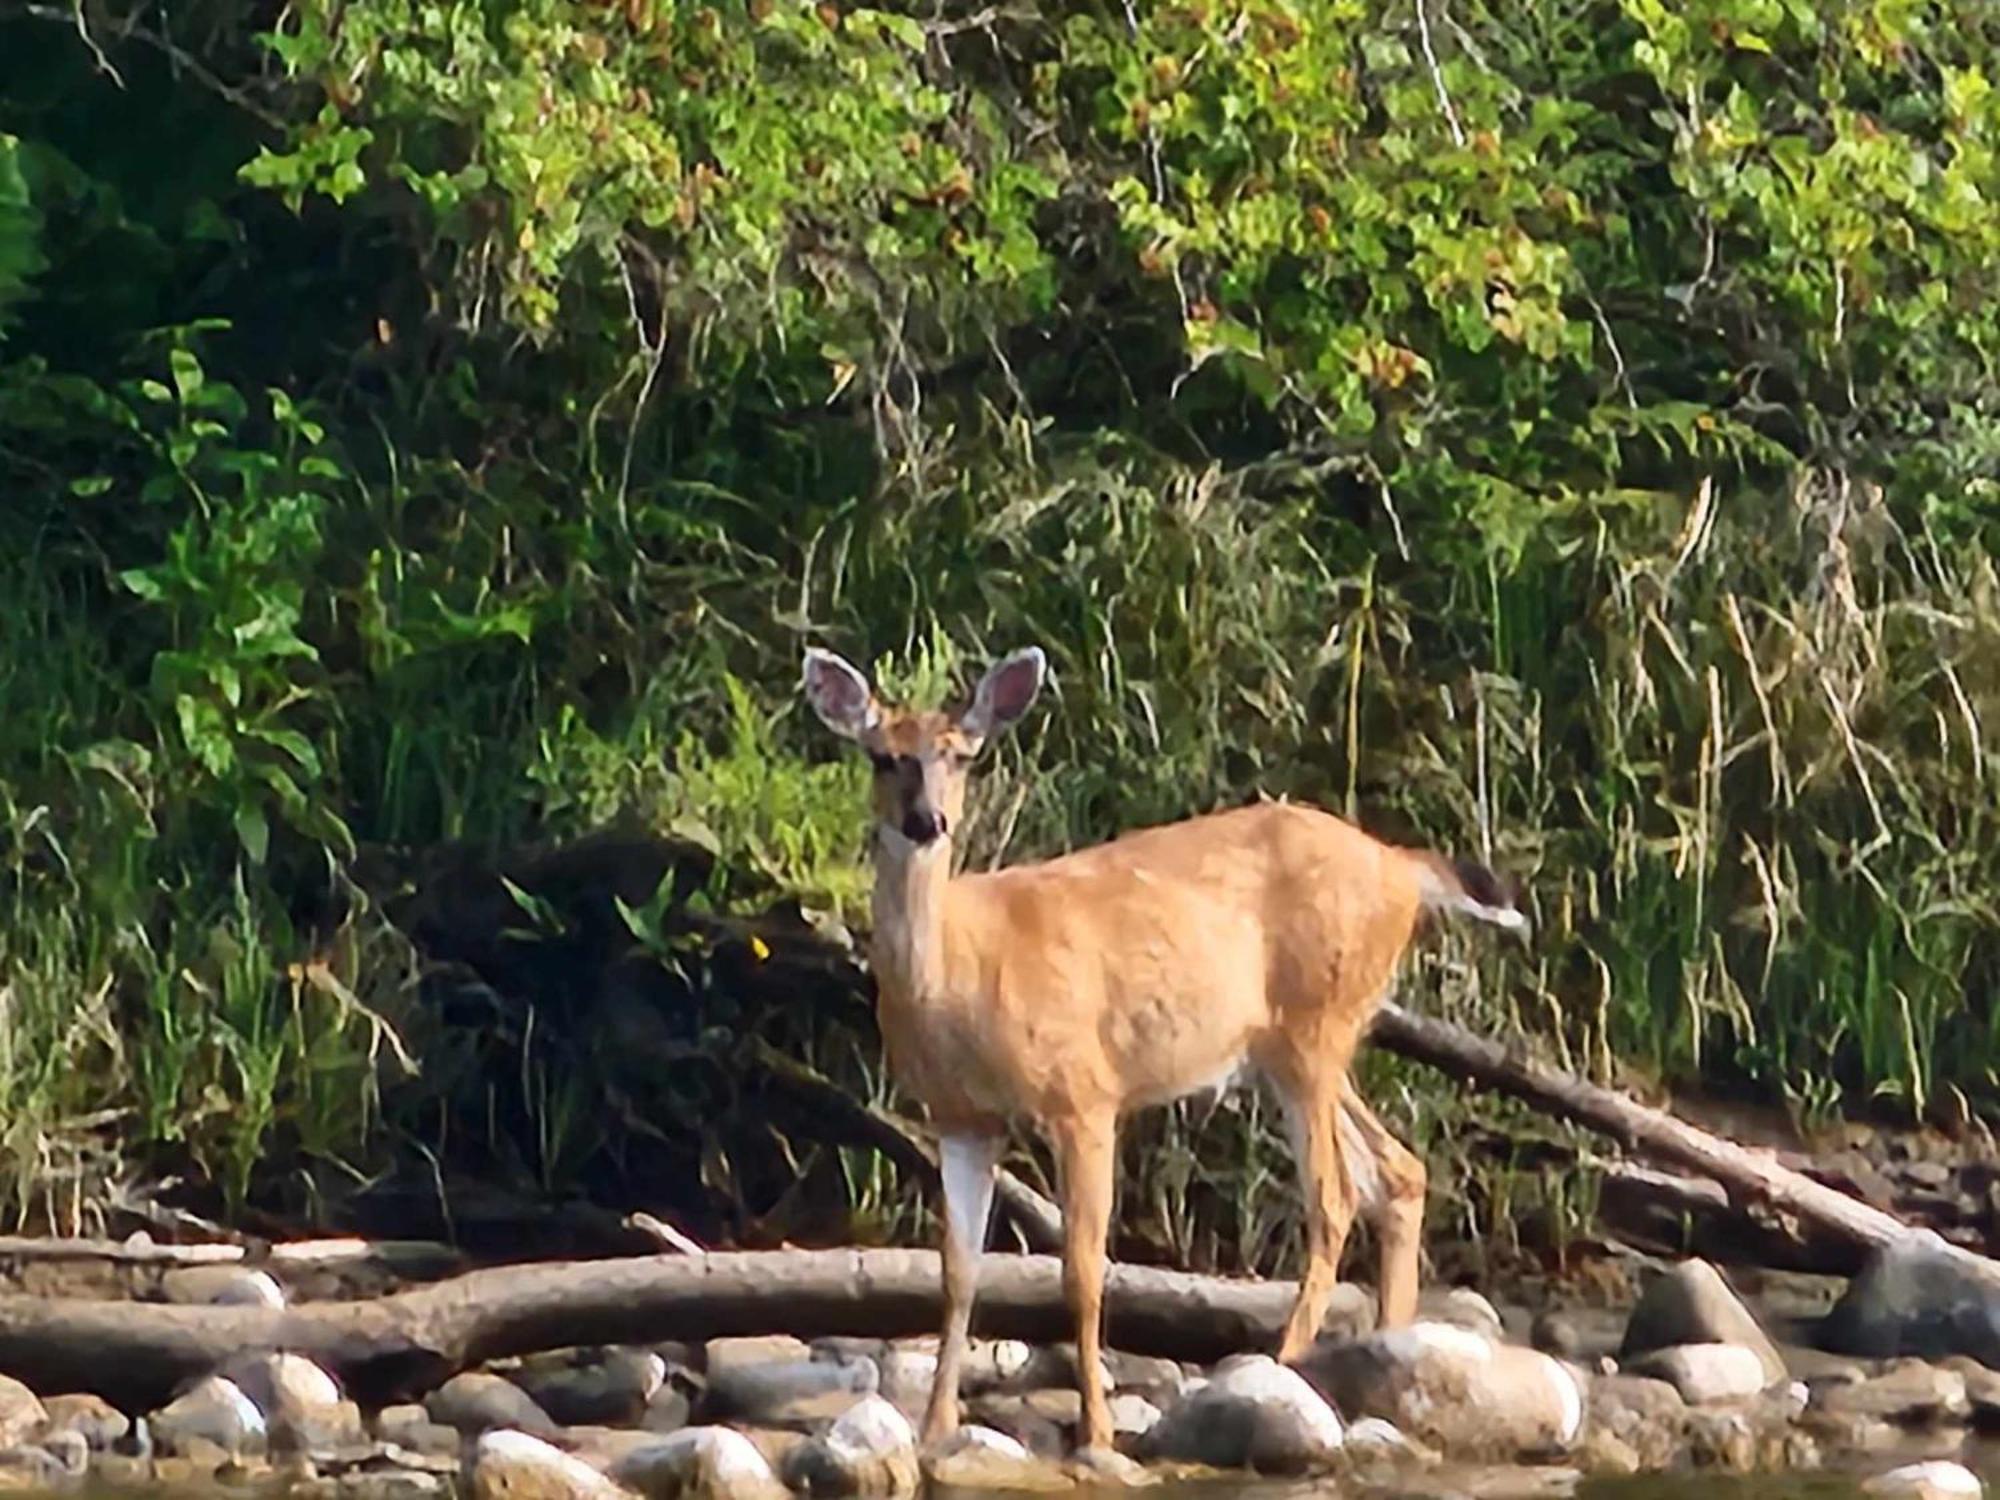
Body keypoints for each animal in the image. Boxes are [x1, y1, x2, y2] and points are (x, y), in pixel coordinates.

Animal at [804, 644, 1520, 1456]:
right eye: (882, 756)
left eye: (962, 755)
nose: (927, 820)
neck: (964, 970)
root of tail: (1401, 866)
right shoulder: (960, 1118)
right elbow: (958, 1272)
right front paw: (934, 1427)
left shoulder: (1084, 1092)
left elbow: (1082, 1269)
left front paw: (1096, 1431)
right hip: (1292, 1042)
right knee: (1398, 1170)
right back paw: (1382, 1360)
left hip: (1317, 1024)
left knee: (1335, 1194)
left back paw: (1284, 1362)